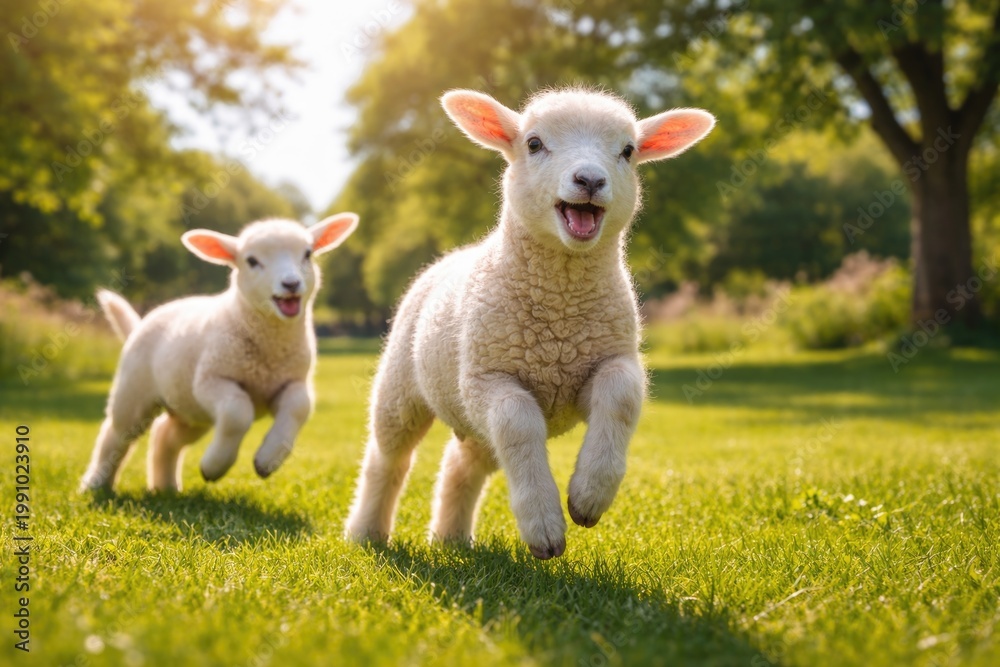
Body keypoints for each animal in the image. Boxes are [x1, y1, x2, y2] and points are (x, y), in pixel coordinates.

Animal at [80, 213, 359, 493]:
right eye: (252, 261)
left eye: (308, 254)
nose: (291, 283)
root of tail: (139, 323)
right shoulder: (210, 379)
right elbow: (237, 413)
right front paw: (213, 467)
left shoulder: (293, 381)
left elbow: (299, 407)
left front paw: (267, 460)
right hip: (135, 390)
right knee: (115, 435)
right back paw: (95, 484)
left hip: (190, 412)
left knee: (165, 436)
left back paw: (166, 487)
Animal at [345, 88, 715, 559]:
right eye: (534, 143)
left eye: (628, 151)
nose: (590, 180)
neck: (560, 315)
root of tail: (452, 255)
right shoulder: (486, 377)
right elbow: (517, 422)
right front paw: (543, 526)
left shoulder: (609, 359)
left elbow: (621, 396)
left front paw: (589, 496)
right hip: (402, 388)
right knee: (388, 457)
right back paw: (366, 532)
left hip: (470, 418)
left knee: (462, 463)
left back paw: (451, 538)